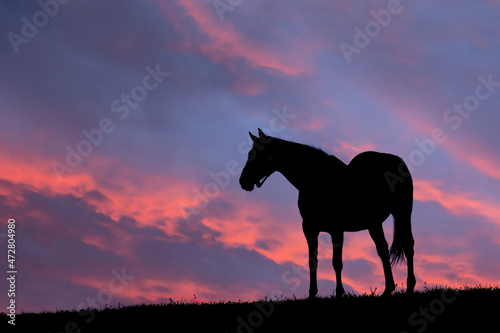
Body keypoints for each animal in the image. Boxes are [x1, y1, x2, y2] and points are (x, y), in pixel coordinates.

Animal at [238, 128, 414, 296]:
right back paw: (388, 289)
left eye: (258, 155)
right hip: (374, 223)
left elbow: (337, 262)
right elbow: (312, 261)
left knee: (408, 245)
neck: (318, 180)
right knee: (383, 249)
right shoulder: (309, 229)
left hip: (402, 213)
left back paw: (410, 287)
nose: (243, 182)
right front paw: (312, 294)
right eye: (249, 153)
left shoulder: (336, 230)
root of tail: (398, 160)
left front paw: (339, 293)